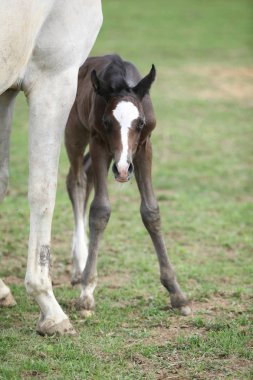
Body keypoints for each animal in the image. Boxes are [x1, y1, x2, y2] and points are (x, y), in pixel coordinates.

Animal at [64, 53, 190, 314]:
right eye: (107, 122)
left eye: (140, 123)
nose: (123, 169)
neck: (120, 80)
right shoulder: (98, 141)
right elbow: (100, 210)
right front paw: (87, 290)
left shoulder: (144, 146)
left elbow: (151, 211)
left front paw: (176, 293)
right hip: (75, 133)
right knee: (76, 180)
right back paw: (79, 267)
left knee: (85, 175)